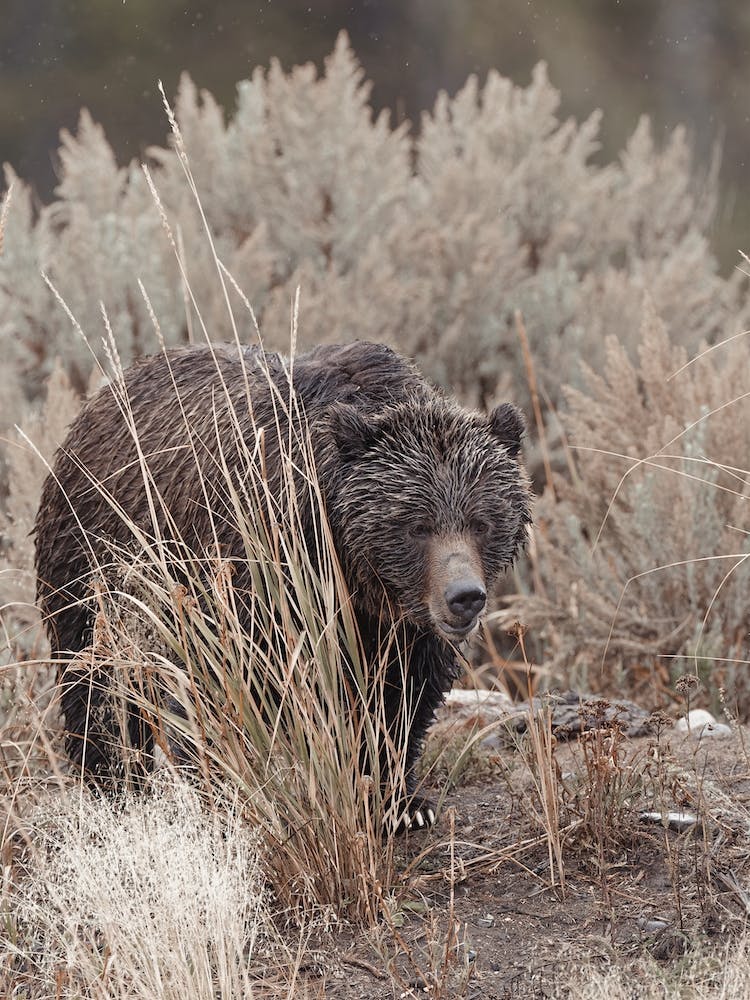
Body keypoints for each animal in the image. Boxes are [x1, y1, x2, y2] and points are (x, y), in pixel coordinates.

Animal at [35, 340, 532, 830]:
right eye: (417, 526)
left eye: (482, 522)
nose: (464, 597)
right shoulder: (255, 568)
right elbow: (220, 688)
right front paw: (228, 798)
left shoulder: (402, 624)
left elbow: (403, 697)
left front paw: (404, 803)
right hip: (96, 561)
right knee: (98, 685)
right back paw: (114, 791)